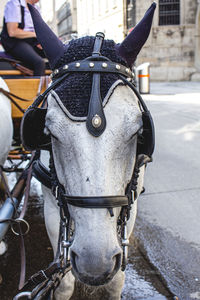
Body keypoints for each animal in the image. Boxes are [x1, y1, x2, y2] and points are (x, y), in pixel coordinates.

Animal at [21, 1, 156, 298]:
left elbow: (117, 280)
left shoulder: (131, 199)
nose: (96, 263)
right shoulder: (53, 203)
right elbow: (64, 280)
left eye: (137, 132)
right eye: (50, 133)